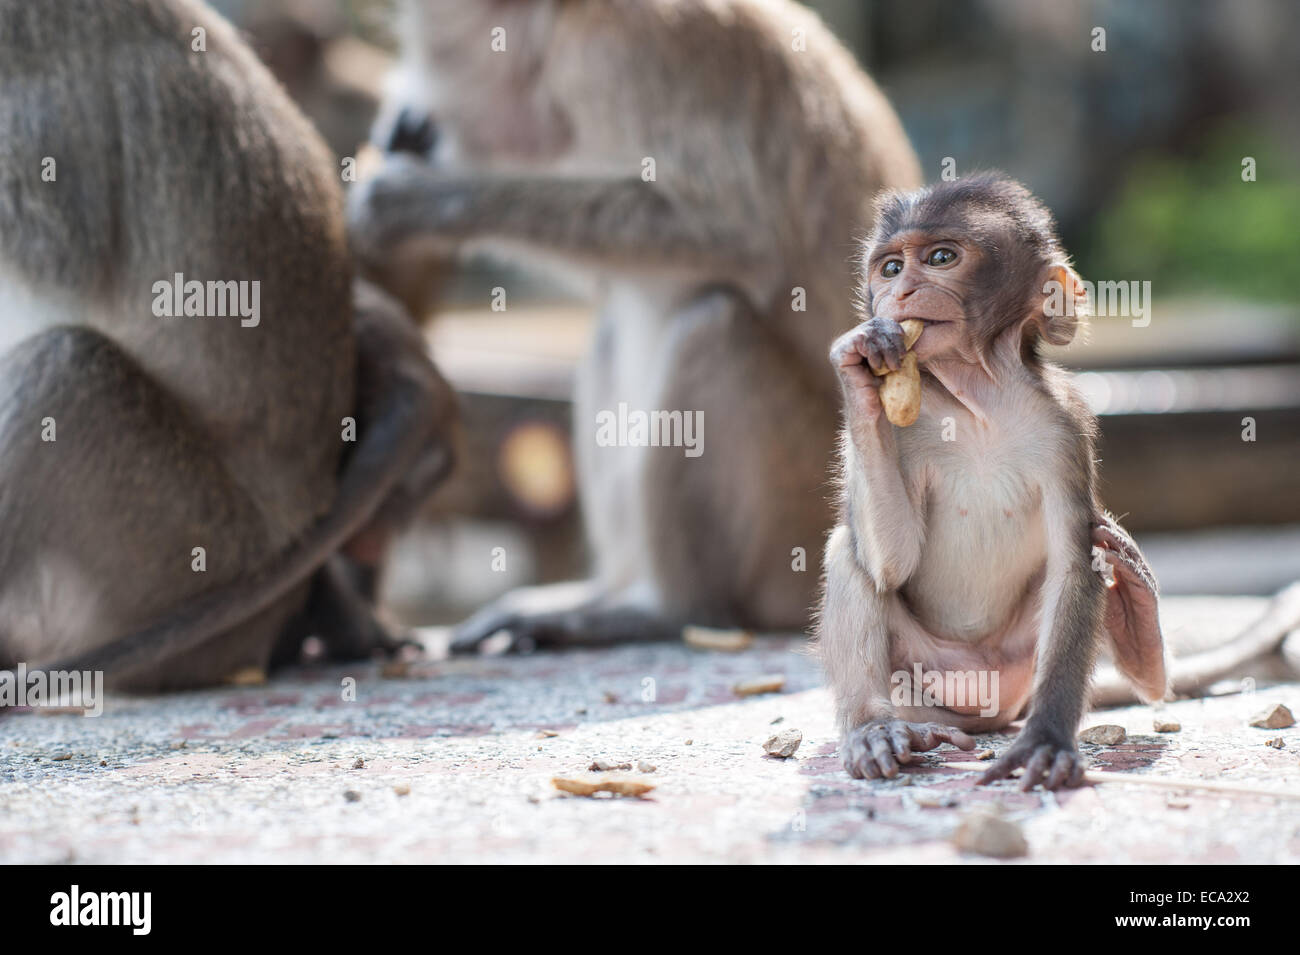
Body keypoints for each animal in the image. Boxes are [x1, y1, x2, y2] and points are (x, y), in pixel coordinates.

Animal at [351, 0, 925, 649]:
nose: (418, 124)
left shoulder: (623, 56)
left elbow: (732, 230)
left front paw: (417, 201)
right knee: (615, 329)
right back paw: (598, 595)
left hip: (802, 519)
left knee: (714, 326)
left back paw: (668, 610)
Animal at [821, 175, 1170, 795]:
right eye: (890, 268)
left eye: (940, 258)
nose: (900, 292)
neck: (978, 400)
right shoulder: (904, 430)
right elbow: (892, 562)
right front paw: (856, 363)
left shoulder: (1064, 428)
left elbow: (1074, 562)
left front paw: (1047, 740)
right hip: (926, 677)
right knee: (849, 552)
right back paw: (876, 730)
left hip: (1016, 666)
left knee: (1094, 563)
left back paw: (1137, 618)